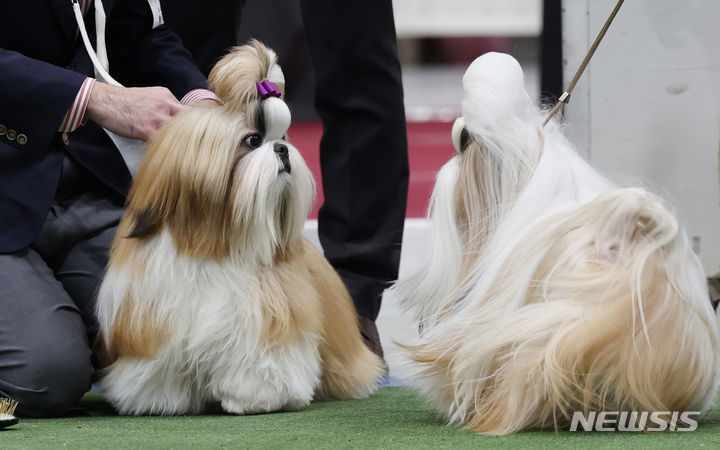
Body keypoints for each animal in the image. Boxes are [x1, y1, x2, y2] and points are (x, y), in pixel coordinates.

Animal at [100, 42, 388, 414]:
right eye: (253, 140)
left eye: (283, 136)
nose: (283, 149)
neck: (212, 243)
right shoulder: (154, 315)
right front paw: (159, 400)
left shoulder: (263, 317)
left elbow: (258, 361)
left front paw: (252, 398)